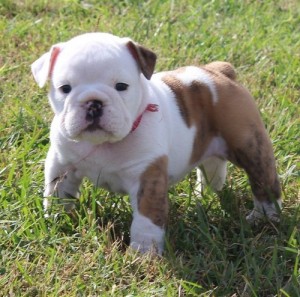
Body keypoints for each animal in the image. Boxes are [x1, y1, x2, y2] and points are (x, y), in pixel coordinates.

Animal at [31, 33, 282, 254]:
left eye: (121, 86)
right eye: (65, 88)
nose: (93, 102)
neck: (104, 144)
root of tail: (220, 72)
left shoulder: (147, 176)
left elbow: (146, 218)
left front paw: (144, 253)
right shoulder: (62, 165)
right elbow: (57, 193)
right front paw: (56, 221)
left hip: (249, 145)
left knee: (263, 179)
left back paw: (264, 217)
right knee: (213, 168)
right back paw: (205, 195)